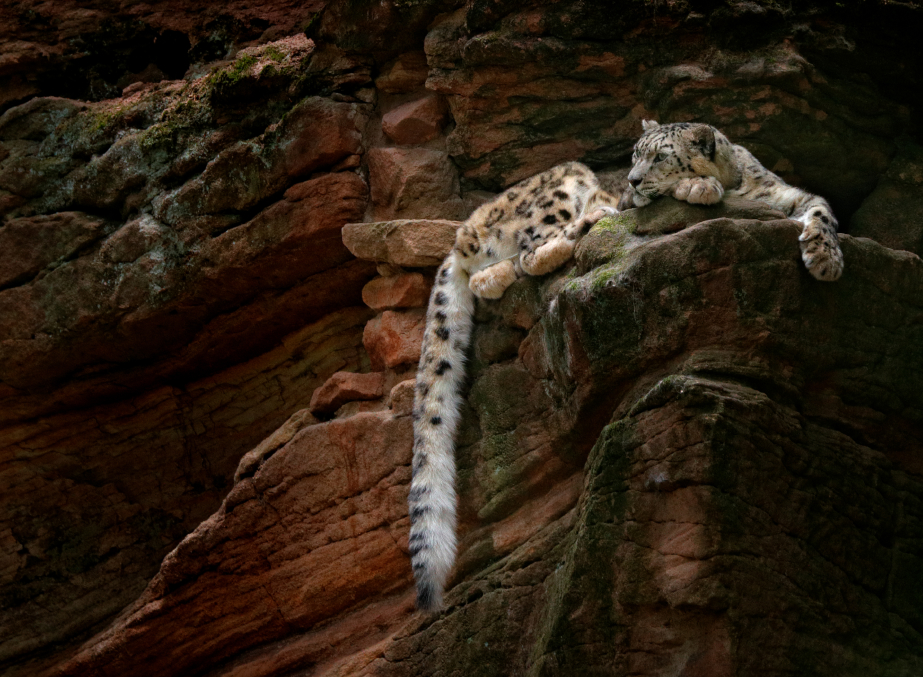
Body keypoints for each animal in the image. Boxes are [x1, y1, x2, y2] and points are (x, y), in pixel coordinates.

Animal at [620, 120, 844, 282]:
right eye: (636, 153)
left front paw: (827, 259)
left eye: (661, 156)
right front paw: (699, 185)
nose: (632, 180)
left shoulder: (785, 194)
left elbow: (822, 213)